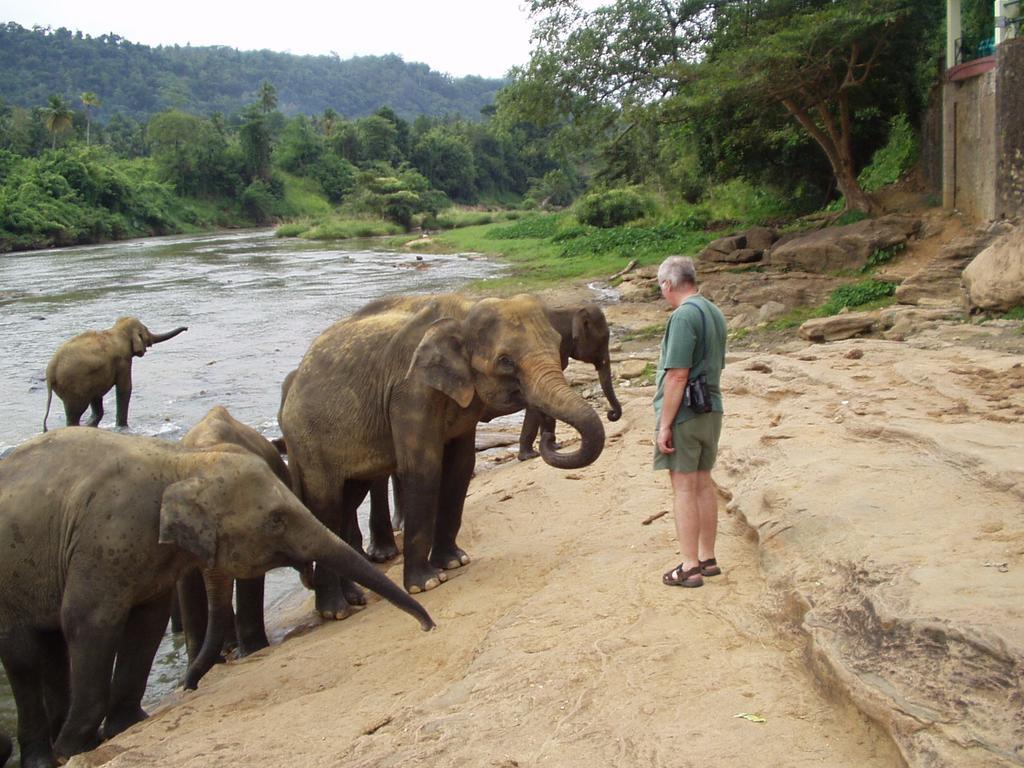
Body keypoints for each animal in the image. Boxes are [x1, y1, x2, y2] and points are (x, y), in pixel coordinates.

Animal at [0, 430, 432, 768]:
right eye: (276, 519)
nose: (429, 625)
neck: (181, 463)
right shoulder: (104, 541)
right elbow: (88, 621)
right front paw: (75, 747)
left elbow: (147, 625)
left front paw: (126, 726)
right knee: (24, 656)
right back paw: (46, 755)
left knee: (48, 650)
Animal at [42, 313, 188, 434]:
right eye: (146, 330)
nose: (186, 328)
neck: (116, 330)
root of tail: (50, 372)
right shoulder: (123, 361)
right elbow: (125, 388)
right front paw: (123, 428)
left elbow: (97, 398)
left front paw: (92, 424)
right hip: (74, 386)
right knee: (75, 412)